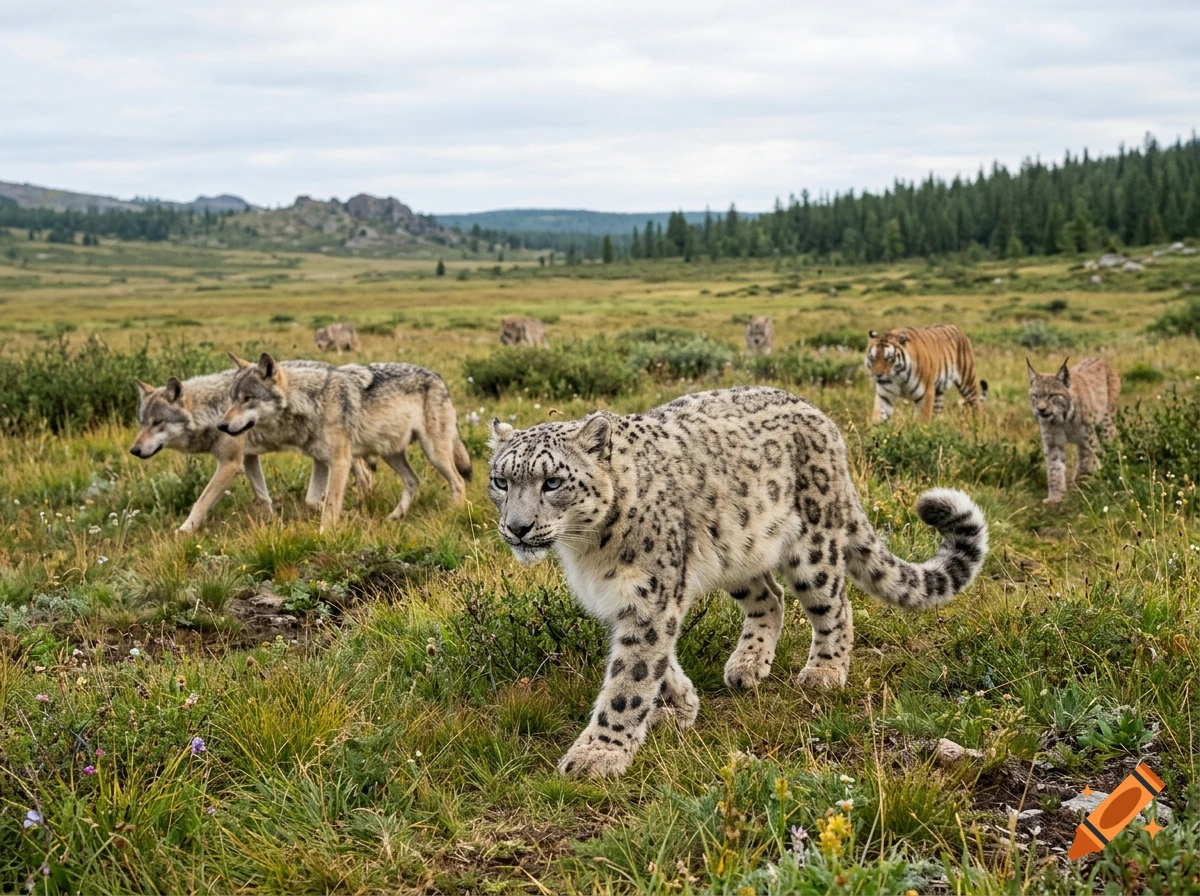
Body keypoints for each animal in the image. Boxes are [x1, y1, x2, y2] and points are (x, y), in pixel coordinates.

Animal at [131, 363, 374, 533]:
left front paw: (184, 530)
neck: (213, 411)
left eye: (157, 422)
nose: (134, 450)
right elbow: (263, 496)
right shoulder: (248, 458)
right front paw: (272, 522)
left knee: (362, 471)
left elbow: (200, 502)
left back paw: (364, 501)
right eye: (142, 422)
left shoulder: (230, 464)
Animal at [218, 355, 472, 530]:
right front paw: (344, 515)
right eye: (231, 399)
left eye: (247, 399)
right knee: (413, 481)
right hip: (390, 453)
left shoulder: (340, 461)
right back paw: (395, 516)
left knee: (459, 481)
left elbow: (330, 504)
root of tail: (438, 377)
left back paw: (454, 514)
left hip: (434, 453)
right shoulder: (321, 461)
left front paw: (325, 533)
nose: (221, 425)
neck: (312, 402)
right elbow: (312, 500)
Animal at [487, 386, 988, 778]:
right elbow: (656, 661)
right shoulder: (627, 601)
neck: (588, 553)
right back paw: (747, 666)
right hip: (738, 555)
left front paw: (598, 754)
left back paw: (823, 673)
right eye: (500, 481)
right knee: (771, 598)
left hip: (813, 548)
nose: (517, 528)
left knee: (835, 605)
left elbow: (630, 679)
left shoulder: (651, 597)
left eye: (553, 482)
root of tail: (825, 421)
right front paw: (682, 704)